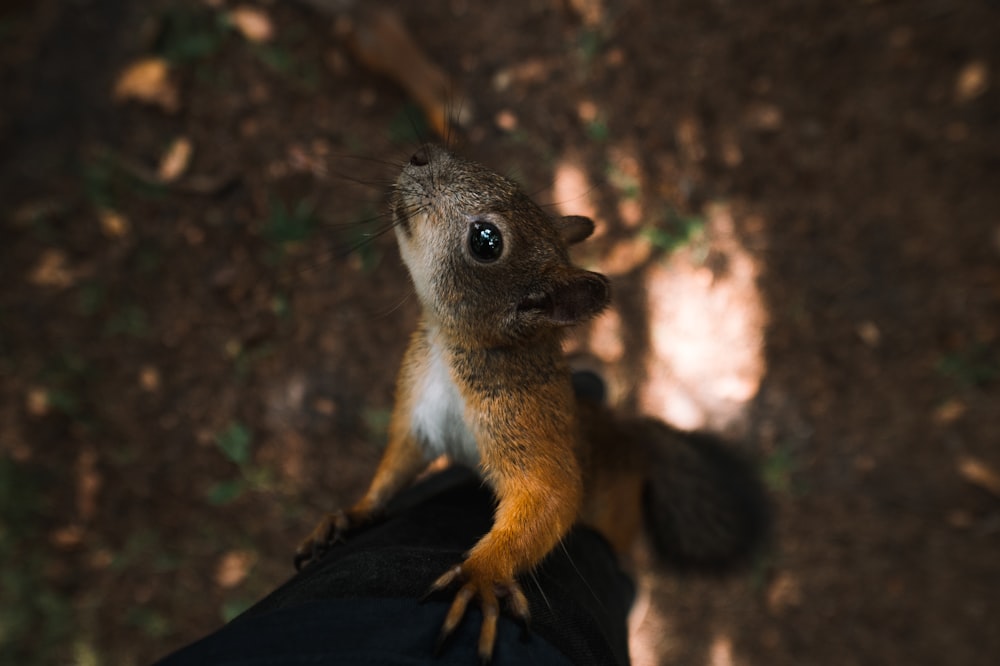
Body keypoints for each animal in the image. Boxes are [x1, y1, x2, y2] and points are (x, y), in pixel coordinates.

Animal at [294, 144, 764, 660]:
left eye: (486, 241)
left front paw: (482, 576)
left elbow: (551, 491)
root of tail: (628, 436)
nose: (421, 155)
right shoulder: (418, 410)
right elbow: (400, 459)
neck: (451, 348)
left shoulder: (525, 416)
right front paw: (354, 512)